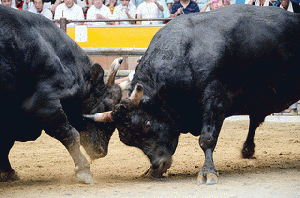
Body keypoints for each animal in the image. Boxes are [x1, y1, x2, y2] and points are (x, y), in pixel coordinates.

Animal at [0, 5, 123, 184]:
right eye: (105, 104)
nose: (102, 151)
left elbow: (6, 142)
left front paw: (7, 171)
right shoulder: (44, 105)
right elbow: (70, 134)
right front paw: (84, 171)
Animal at [86, 4, 300, 184]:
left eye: (146, 124)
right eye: (127, 139)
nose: (159, 164)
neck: (186, 54)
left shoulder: (214, 100)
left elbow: (207, 138)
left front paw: (208, 172)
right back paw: (248, 149)